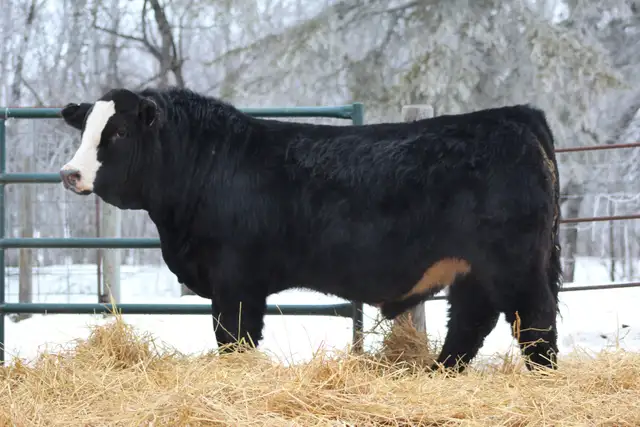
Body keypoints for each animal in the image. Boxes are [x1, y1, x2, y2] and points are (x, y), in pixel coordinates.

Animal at [58, 86, 562, 373]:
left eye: (118, 132)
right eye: (84, 130)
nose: (69, 173)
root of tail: (514, 115)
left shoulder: (234, 280)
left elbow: (233, 337)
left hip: (513, 263)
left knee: (534, 321)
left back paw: (541, 378)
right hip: (472, 268)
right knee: (471, 322)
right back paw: (438, 374)